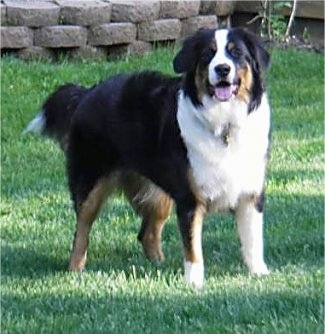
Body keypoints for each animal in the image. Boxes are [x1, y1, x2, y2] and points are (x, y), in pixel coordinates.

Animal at [24, 28, 270, 288]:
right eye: (208, 54)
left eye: (236, 53)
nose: (222, 69)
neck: (224, 125)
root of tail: (88, 91)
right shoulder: (189, 199)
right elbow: (193, 248)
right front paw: (194, 283)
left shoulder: (251, 194)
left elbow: (253, 240)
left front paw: (259, 273)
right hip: (90, 181)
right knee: (81, 228)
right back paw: (75, 269)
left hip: (160, 193)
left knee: (146, 233)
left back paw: (158, 265)